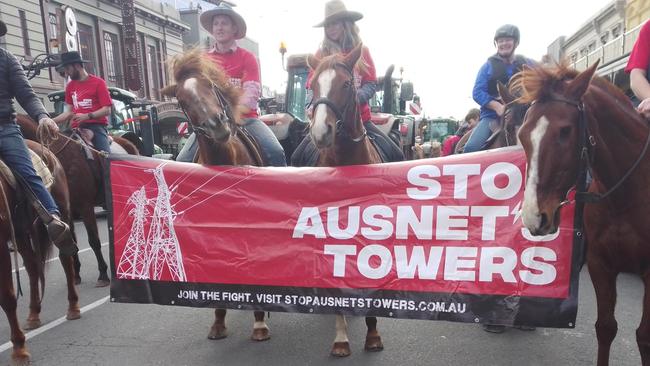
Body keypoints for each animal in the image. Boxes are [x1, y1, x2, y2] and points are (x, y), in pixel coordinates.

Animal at [1, 139, 79, 364]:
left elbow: (7, 297)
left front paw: (19, 349)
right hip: (20, 233)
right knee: (32, 267)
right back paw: (33, 314)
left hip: (62, 214)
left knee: (66, 259)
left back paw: (73, 307)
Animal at [512, 61, 648, 364]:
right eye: (522, 134)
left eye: (564, 131)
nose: (534, 216)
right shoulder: (600, 263)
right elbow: (606, 327)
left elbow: (644, 337)